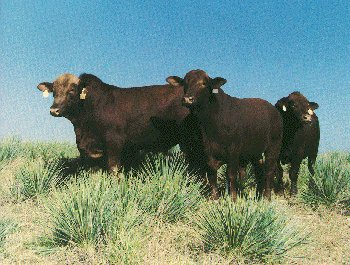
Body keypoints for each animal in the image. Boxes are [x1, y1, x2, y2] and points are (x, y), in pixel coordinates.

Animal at [37, 72, 190, 171]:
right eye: (54, 91)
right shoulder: (88, 151)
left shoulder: (115, 143)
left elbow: (114, 169)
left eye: (72, 90)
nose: (54, 110)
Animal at [165, 69, 284, 199]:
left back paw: (267, 197)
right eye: (185, 83)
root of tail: (274, 110)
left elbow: (231, 175)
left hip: (274, 147)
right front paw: (215, 198)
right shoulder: (208, 152)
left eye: (204, 83)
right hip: (255, 152)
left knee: (269, 170)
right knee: (259, 171)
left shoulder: (233, 151)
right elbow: (212, 175)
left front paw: (233, 198)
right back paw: (258, 196)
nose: (187, 99)